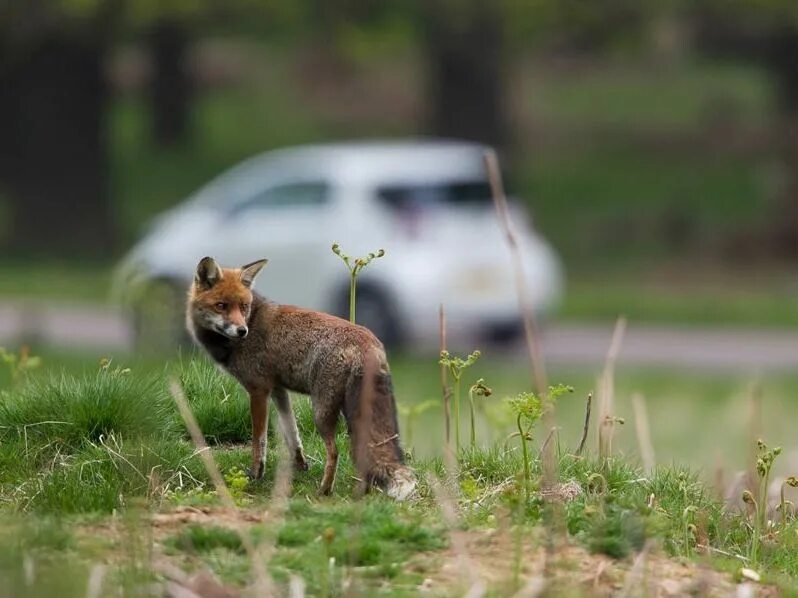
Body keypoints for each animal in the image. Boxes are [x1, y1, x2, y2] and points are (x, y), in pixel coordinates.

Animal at [184, 256, 416, 502]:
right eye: (221, 306)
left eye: (243, 307)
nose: (241, 331)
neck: (251, 321)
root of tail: (370, 341)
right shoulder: (278, 390)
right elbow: (292, 432)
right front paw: (300, 464)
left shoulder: (258, 390)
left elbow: (259, 440)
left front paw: (256, 473)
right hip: (352, 413)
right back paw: (360, 493)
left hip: (321, 412)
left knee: (335, 452)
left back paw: (324, 491)